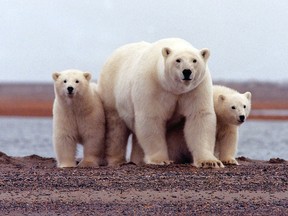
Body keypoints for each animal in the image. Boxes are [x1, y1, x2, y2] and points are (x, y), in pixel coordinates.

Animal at [97, 38, 223, 168]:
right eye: (178, 60)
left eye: (194, 60)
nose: (187, 71)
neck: (174, 88)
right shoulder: (152, 85)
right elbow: (151, 118)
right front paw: (161, 160)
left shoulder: (195, 88)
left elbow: (199, 116)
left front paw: (210, 162)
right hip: (111, 91)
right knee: (116, 128)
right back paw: (117, 160)